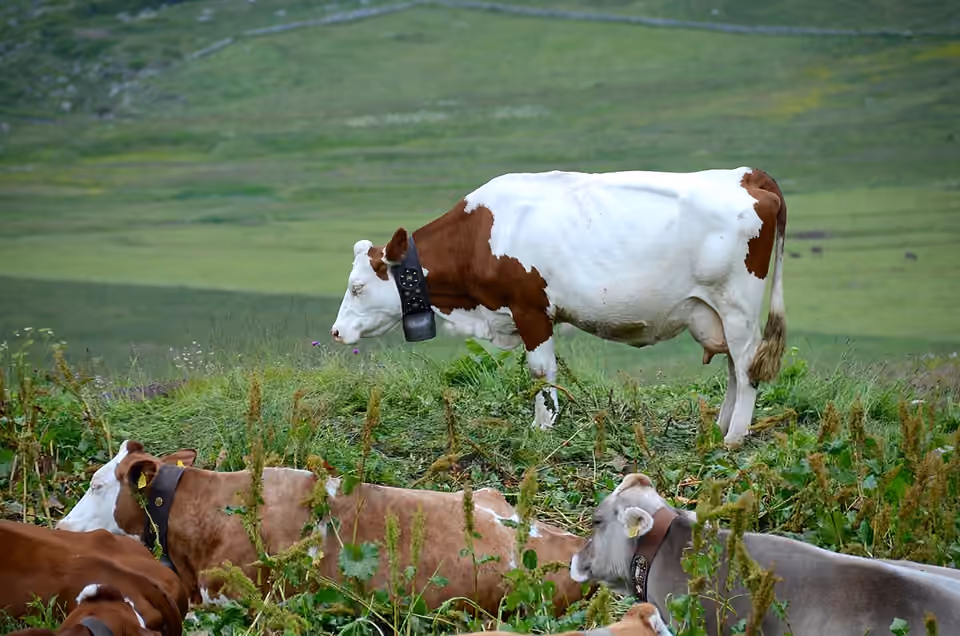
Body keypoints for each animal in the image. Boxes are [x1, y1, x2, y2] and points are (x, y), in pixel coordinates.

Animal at [330, 167, 787, 447]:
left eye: (356, 287)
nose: (336, 331)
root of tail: (745, 176)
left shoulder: (530, 308)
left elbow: (540, 371)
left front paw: (543, 425)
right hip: (717, 312)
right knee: (733, 369)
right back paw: (721, 426)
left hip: (737, 309)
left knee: (746, 367)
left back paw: (735, 436)